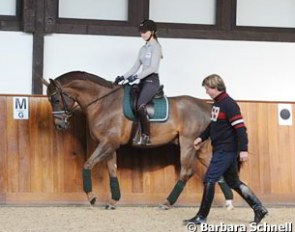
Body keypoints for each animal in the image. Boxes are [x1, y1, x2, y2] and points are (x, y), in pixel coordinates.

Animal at [42, 70, 213, 208]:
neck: (103, 103)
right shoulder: (110, 145)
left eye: (56, 100)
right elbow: (112, 170)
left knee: (186, 172)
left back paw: (166, 203)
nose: (59, 125)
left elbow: (87, 164)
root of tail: (206, 107)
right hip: (200, 148)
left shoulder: (107, 142)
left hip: (188, 144)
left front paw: (92, 198)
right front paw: (113, 201)